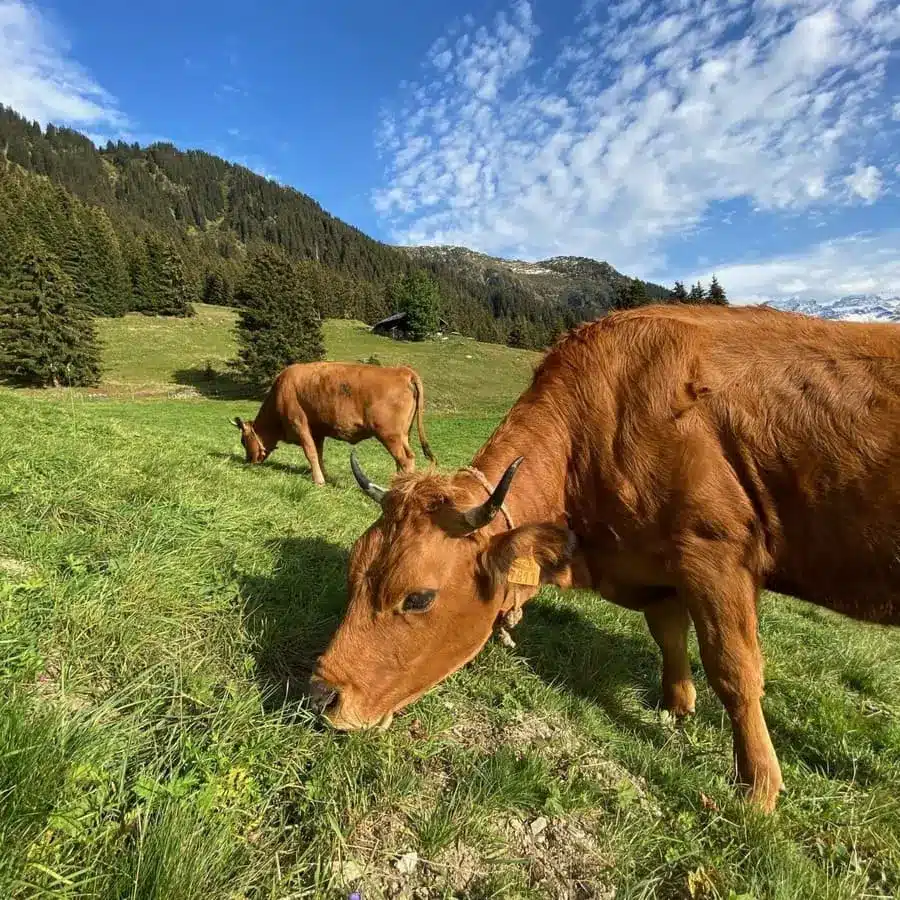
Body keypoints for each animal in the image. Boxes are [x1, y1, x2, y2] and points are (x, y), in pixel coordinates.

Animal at [230, 361, 436, 484]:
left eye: (243, 441)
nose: (248, 461)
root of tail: (402, 371)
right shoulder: (317, 432)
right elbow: (319, 454)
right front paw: (325, 476)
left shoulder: (299, 424)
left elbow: (310, 453)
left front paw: (319, 481)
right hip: (402, 435)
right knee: (401, 460)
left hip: (389, 434)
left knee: (406, 460)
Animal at [308, 303, 900, 813]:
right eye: (353, 571)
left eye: (418, 597)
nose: (322, 696)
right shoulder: (657, 567)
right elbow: (668, 634)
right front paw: (675, 708)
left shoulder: (714, 554)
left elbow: (735, 670)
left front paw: (757, 788)